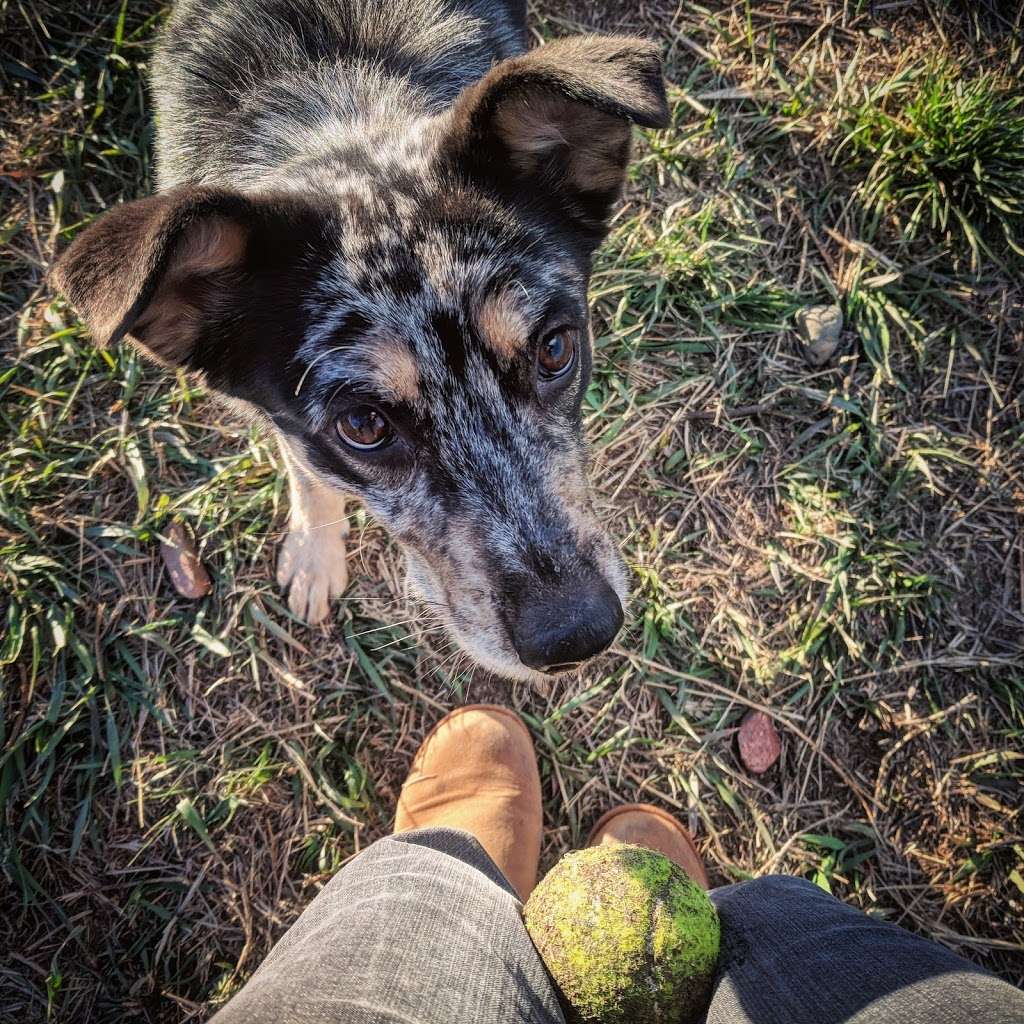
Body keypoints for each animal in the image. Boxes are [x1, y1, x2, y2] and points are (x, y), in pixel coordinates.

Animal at [49, 2, 671, 688]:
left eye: (555, 350)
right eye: (364, 425)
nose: (579, 633)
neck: (336, 107)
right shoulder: (289, 426)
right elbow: (309, 478)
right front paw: (314, 556)